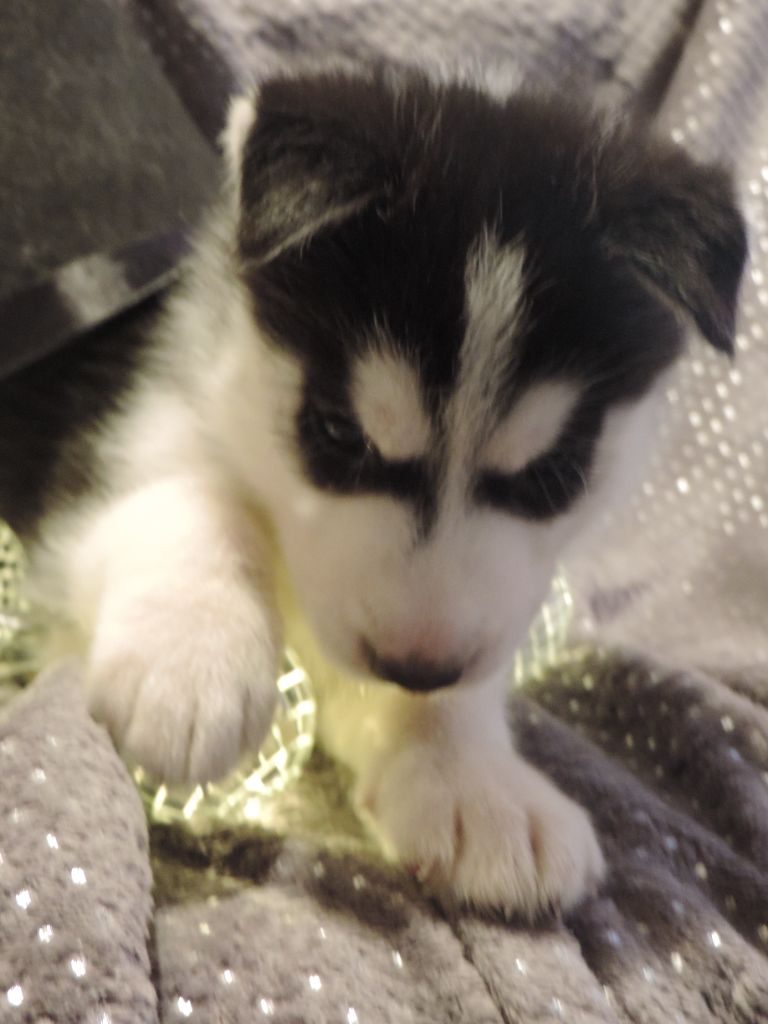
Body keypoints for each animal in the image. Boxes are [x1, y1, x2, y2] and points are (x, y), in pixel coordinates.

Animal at [0, 65, 746, 917]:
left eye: (553, 473)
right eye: (339, 435)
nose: (417, 668)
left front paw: (471, 778)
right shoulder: (101, 446)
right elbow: (183, 488)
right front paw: (192, 653)